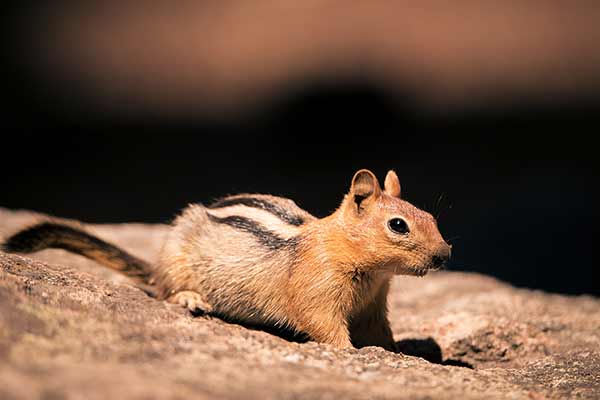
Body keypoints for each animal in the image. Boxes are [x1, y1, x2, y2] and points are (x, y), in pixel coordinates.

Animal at [1, 169, 450, 350]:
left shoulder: (374, 303)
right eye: (398, 225)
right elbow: (325, 327)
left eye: (430, 217)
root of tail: (156, 265)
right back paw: (190, 299)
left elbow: (380, 332)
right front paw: (352, 352)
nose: (445, 255)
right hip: (178, 263)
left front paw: (399, 353)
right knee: (164, 291)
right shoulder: (318, 292)